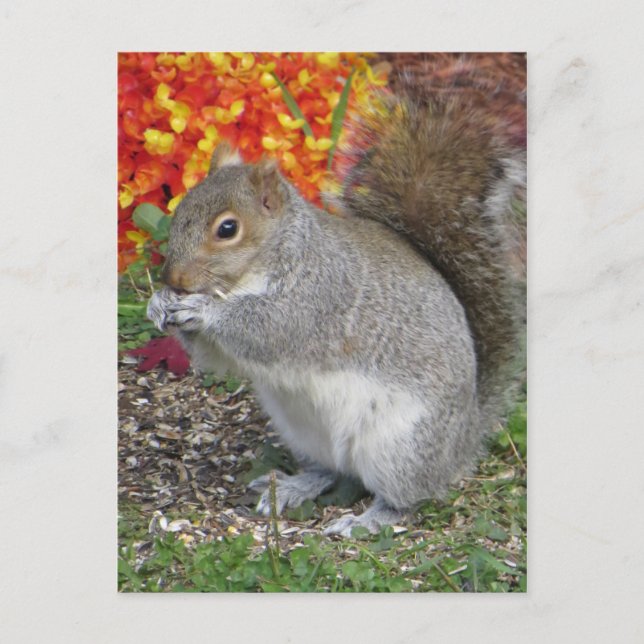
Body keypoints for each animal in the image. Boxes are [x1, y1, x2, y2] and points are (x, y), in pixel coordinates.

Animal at [147, 90, 526, 537]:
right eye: (179, 209)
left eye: (227, 229)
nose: (173, 277)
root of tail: (462, 440)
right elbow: (213, 355)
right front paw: (159, 303)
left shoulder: (317, 298)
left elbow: (265, 328)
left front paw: (203, 309)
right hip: (303, 432)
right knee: (332, 471)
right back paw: (294, 485)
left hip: (400, 446)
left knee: (406, 498)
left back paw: (366, 520)